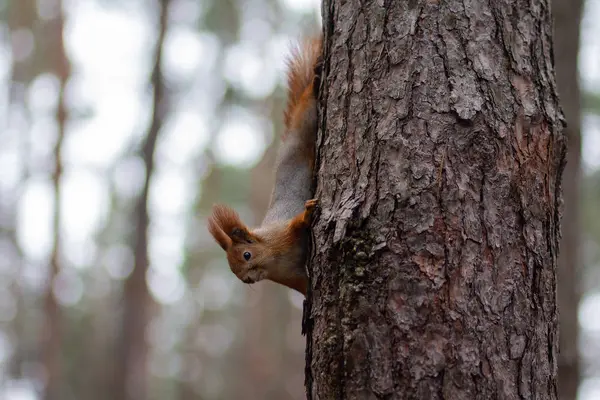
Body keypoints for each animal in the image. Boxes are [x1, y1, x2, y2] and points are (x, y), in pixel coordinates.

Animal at [207, 35, 324, 296]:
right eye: (233, 271)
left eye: (246, 255)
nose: (247, 280)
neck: (273, 258)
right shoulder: (292, 277)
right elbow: (304, 287)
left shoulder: (283, 233)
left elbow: (297, 223)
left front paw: (308, 213)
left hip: (306, 123)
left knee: (308, 102)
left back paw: (314, 81)